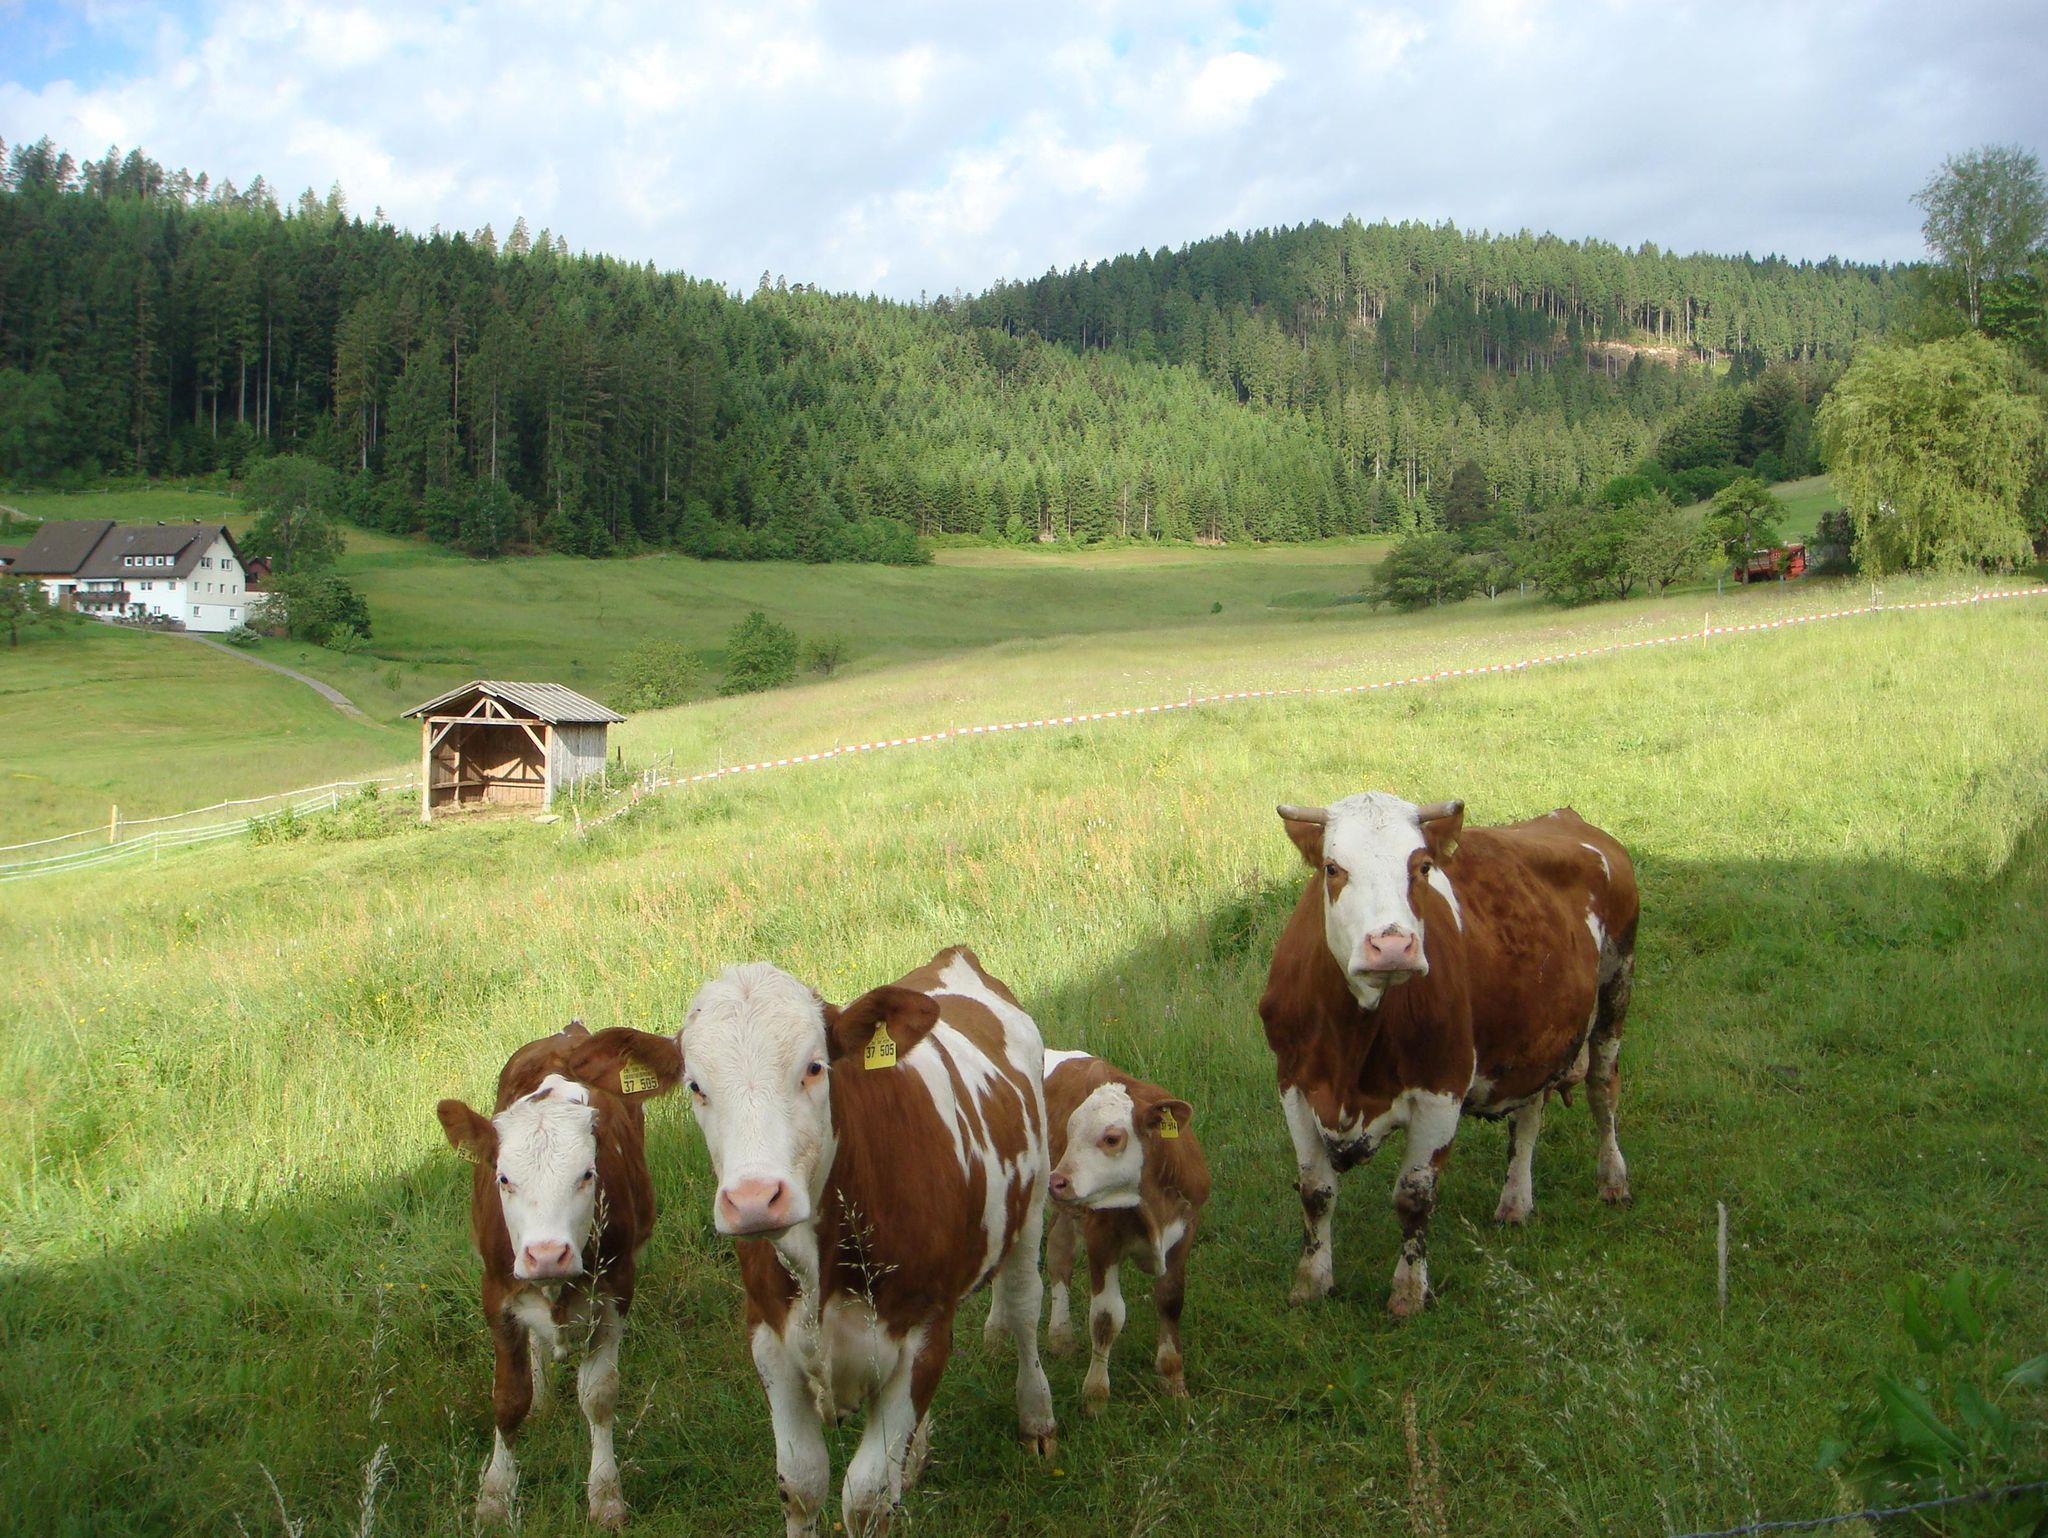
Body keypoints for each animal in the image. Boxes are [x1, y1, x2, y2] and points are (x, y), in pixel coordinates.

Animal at [436, 1021, 683, 1528]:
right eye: (504, 1178)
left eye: (587, 1174)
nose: (546, 1254)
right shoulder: (496, 1292)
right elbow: (508, 1399)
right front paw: (495, 1494)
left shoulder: (616, 1289)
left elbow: (599, 1396)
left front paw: (606, 1495)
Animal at [676, 945, 1057, 1538]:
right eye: (695, 1086)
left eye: (814, 1067)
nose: (756, 1199)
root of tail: (953, 957)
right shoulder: (769, 1337)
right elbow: (802, 1484)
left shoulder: (924, 1332)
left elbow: (866, 1498)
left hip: (1031, 1207)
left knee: (1022, 1308)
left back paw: (1036, 1417)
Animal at [1042, 1051, 1210, 1411]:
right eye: (1070, 1129)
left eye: (1111, 1138)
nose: (1057, 1181)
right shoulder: (1101, 1239)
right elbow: (1106, 1316)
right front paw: (1095, 1396)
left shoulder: (1185, 1232)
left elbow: (1170, 1301)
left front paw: (1174, 1381)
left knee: (1059, 1254)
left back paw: (1061, 1337)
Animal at [1259, 793, 1638, 1316]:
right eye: (1333, 869)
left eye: (1422, 866)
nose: (1392, 945)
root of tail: (1568, 819)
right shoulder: (1294, 1085)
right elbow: (1316, 1192)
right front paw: (1311, 1283)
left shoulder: (1441, 1090)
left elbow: (1414, 1197)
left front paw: (1408, 1292)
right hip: (1535, 1040)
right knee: (1529, 1115)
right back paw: (1515, 1202)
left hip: (1617, 986)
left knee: (1603, 1090)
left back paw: (1613, 1178)